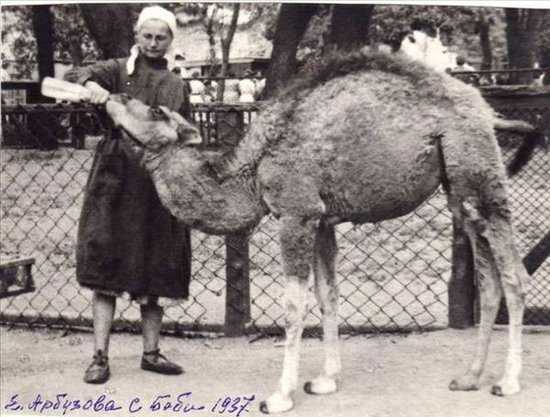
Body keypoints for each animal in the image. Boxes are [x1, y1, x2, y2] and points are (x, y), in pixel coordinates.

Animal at [104, 49, 544, 412]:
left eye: (156, 111)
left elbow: (294, 306)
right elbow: (327, 295)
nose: (115, 97)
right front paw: (326, 380)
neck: (252, 169)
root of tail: (488, 112)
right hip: (461, 190)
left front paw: (280, 395)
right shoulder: (321, 221)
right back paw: (470, 377)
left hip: (480, 174)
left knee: (515, 275)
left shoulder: (296, 213)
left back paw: (508, 382)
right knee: (489, 278)